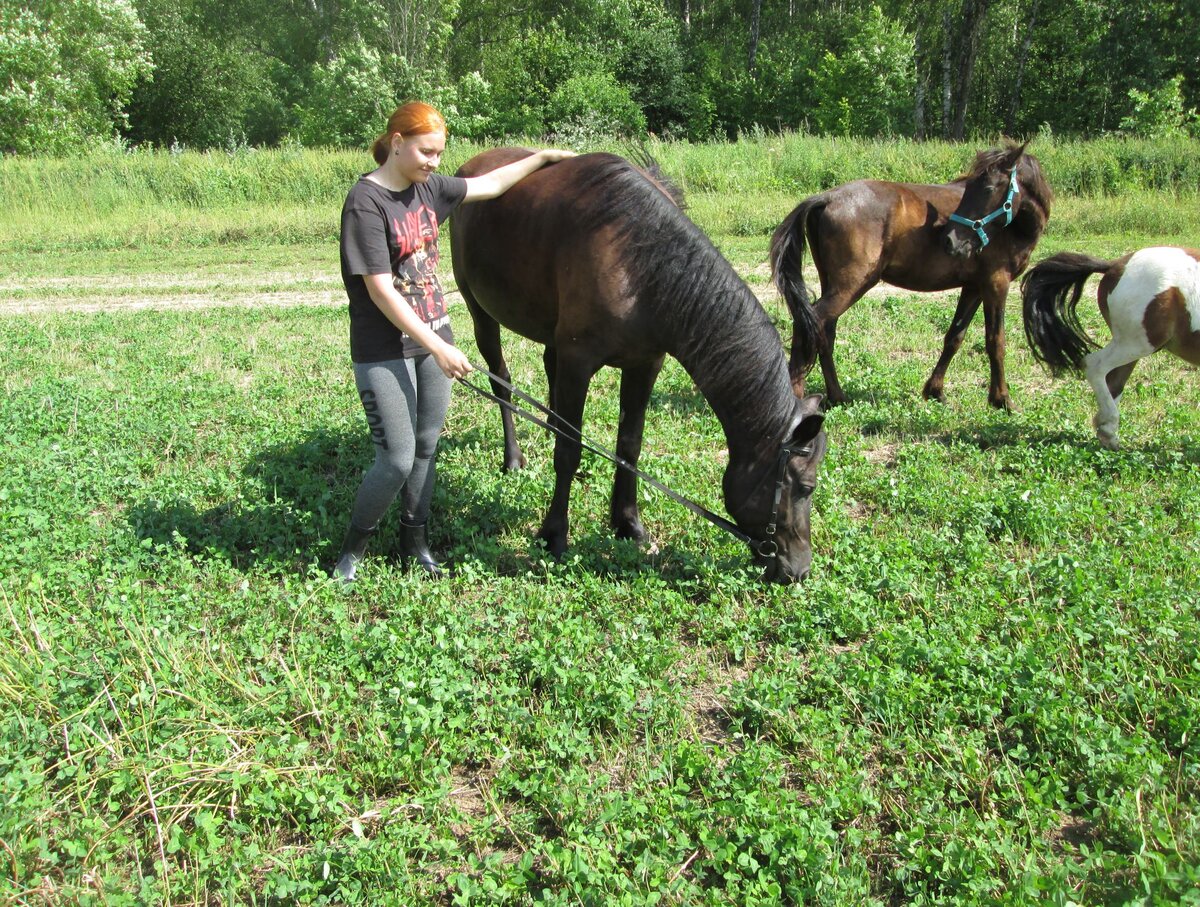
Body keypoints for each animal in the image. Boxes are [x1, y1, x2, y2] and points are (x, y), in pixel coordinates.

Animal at [451, 148, 825, 580]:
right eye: (806, 487)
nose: (799, 569)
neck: (642, 264)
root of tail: (470, 167)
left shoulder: (645, 365)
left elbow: (629, 445)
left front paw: (628, 523)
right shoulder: (579, 363)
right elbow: (568, 450)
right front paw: (554, 534)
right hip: (480, 311)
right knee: (501, 381)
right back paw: (513, 459)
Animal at [1022, 245, 1200, 448]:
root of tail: (1116, 266)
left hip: (1131, 345)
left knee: (1114, 381)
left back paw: (1107, 431)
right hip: (1136, 344)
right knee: (1095, 366)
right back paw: (1109, 427)